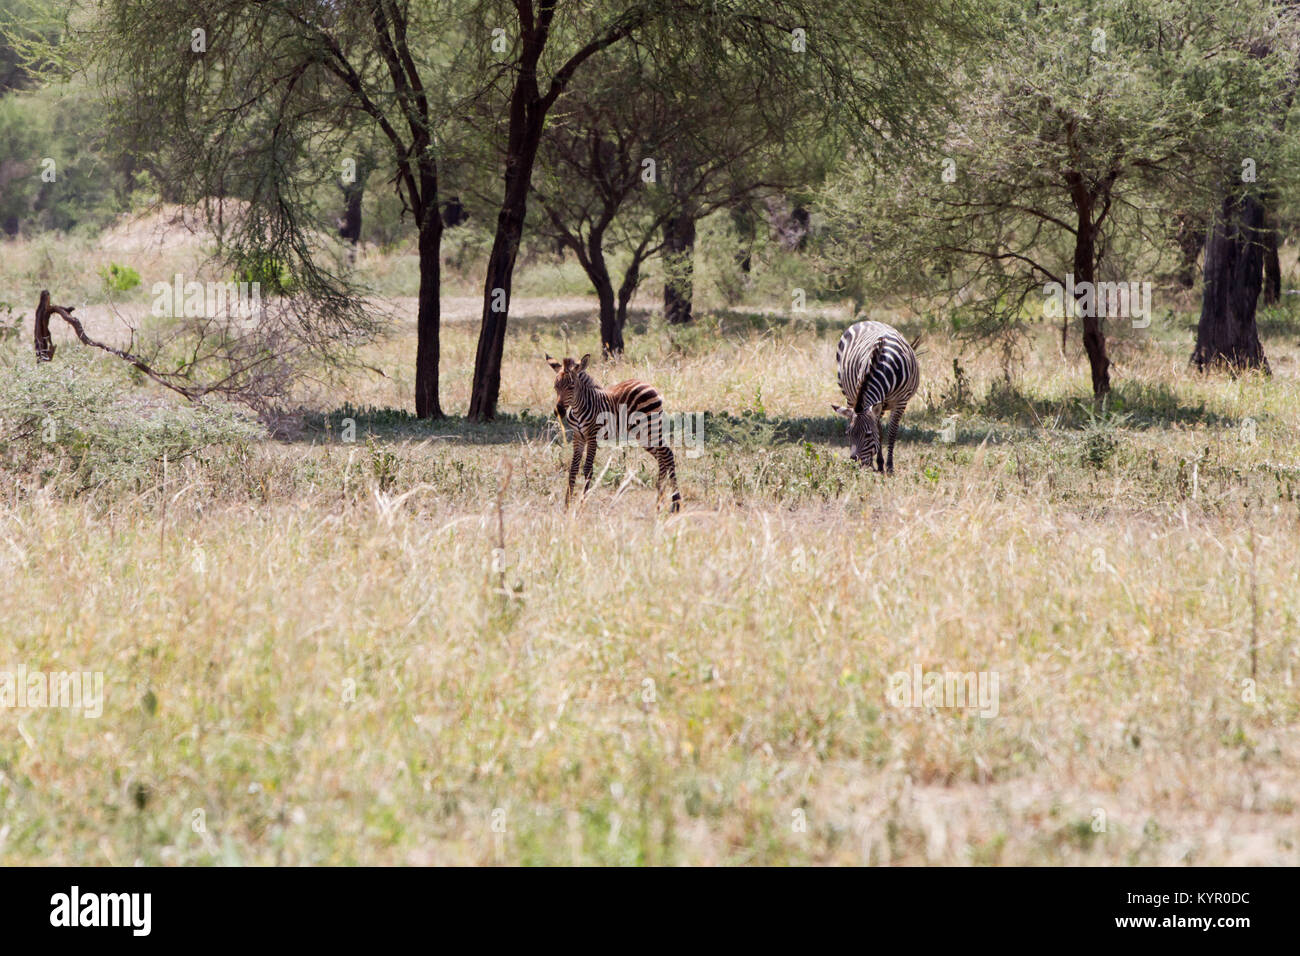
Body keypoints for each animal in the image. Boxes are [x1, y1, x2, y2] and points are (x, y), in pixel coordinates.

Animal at [540, 356, 681, 512]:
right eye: (555, 387)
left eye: (571, 387)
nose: (558, 412)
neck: (577, 409)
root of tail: (647, 384)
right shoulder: (578, 437)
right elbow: (573, 468)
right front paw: (567, 504)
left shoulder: (592, 436)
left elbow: (588, 469)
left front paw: (582, 503)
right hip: (642, 434)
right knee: (661, 457)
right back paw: (659, 501)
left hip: (650, 427)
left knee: (667, 454)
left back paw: (675, 503)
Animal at [832, 319, 925, 473]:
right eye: (848, 433)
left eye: (868, 434)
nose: (854, 462)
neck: (885, 366)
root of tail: (866, 321)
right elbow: (878, 430)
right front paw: (877, 463)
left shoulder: (901, 402)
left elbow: (891, 432)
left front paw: (890, 466)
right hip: (850, 395)